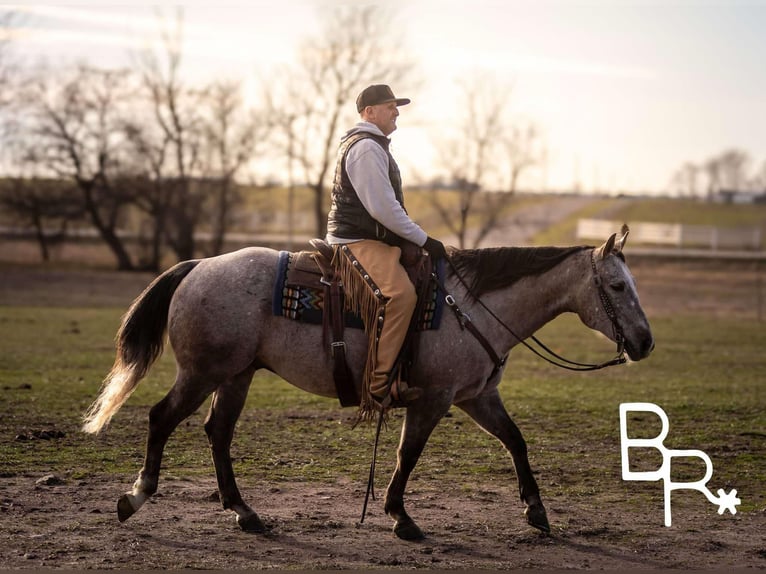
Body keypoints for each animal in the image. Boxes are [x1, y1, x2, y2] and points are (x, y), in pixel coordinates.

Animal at [82, 225, 654, 540]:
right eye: (617, 285)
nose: (646, 342)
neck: (471, 306)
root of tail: (199, 265)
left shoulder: (476, 397)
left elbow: (515, 441)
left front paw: (536, 511)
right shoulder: (434, 399)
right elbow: (407, 454)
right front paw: (400, 517)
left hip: (236, 375)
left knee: (217, 433)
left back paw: (245, 512)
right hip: (203, 372)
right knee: (162, 418)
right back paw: (136, 497)